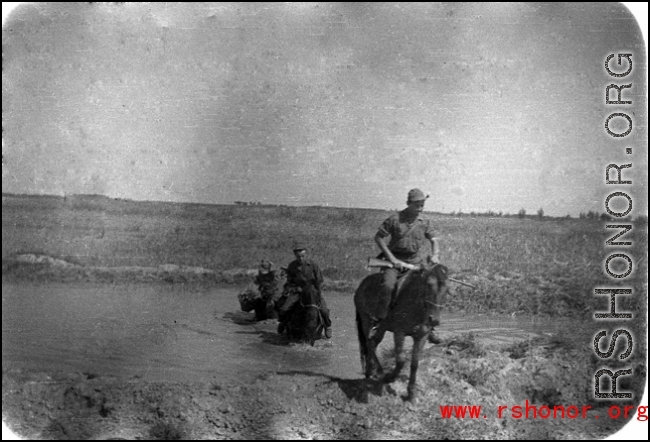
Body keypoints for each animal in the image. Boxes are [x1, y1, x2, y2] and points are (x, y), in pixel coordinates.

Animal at [354, 262, 446, 400]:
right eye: (429, 284)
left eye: (446, 288)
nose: (434, 320)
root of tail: (362, 285)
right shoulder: (399, 333)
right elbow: (401, 360)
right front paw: (389, 378)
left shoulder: (421, 336)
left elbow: (414, 363)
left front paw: (411, 392)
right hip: (366, 320)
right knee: (369, 343)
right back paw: (380, 373)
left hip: (381, 329)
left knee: (373, 343)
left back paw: (371, 372)